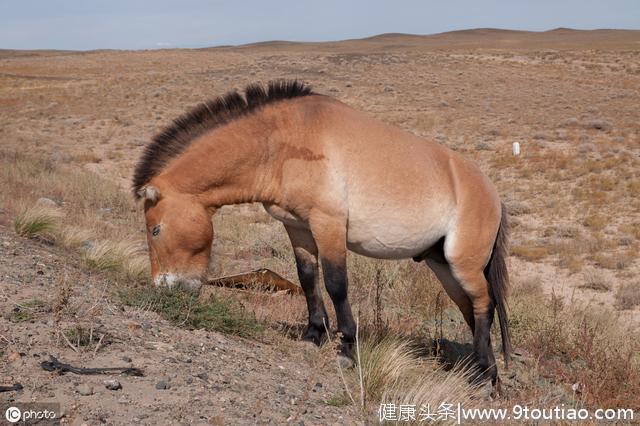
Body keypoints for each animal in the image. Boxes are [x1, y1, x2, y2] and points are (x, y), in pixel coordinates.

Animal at [132, 78, 512, 384]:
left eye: (155, 230)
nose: (163, 288)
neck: (281, 142)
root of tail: (492, 192)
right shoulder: (297, 227)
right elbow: (307, 278)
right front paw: (313, 334)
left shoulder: (327, 225)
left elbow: (335, 284)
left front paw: (347, 348)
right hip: (443, 265)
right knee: (471, 308)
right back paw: (479, 370)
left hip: (462, 263)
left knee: (484, 304)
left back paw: (486, 376)